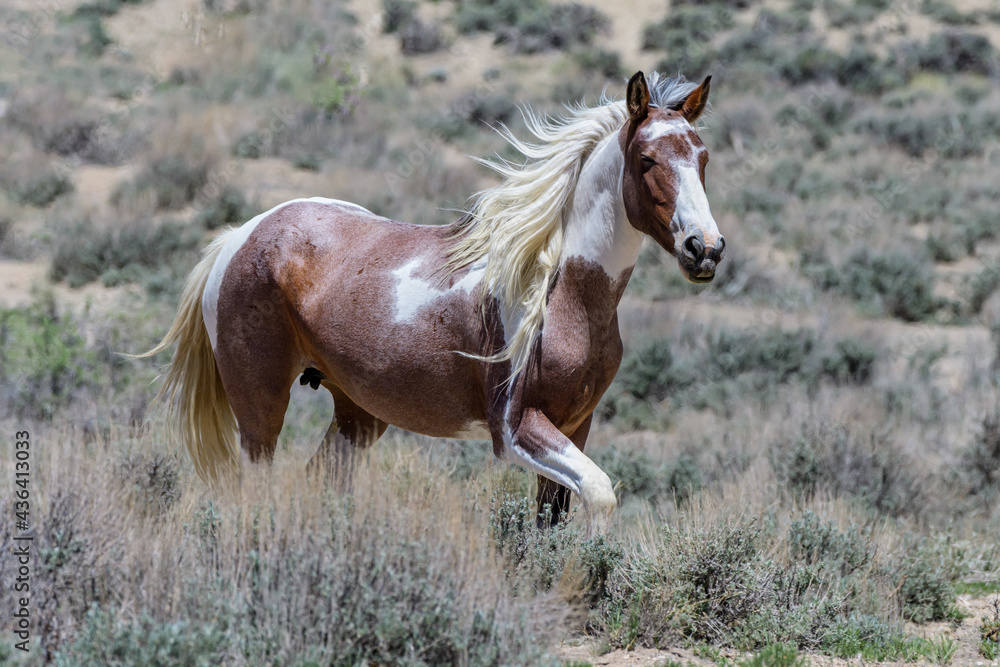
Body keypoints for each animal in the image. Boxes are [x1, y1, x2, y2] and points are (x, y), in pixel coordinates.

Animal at [142, 71, 725, 536]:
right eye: (646, 159)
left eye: (702, 158)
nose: (705, 248)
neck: (561, 291)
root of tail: (239, 237)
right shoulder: (516, 429)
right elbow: (601, 495)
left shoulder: (577, 423)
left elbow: (553, 521)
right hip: (260, 406)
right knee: (254, 489)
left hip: (357, 415)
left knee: (320, 480)